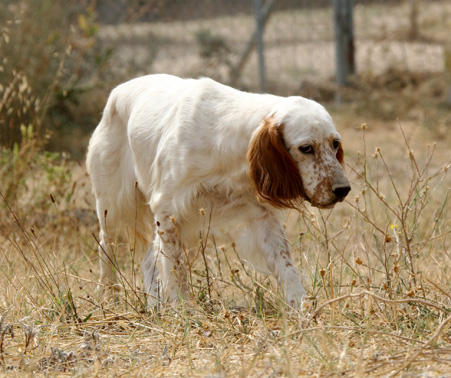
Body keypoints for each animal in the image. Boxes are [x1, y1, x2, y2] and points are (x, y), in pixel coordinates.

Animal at [86, 74, 352, 310]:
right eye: (306, 148)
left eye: (335, 143)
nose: (343, 189)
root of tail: (117, 91)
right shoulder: (168, 211)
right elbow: (176, 272)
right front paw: (185, 312)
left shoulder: (262, 217)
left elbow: (286, 265)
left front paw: (302, 309)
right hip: (112, 208)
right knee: (106, 250)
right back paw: (108, 297)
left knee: (149, 260)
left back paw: (154, 307)